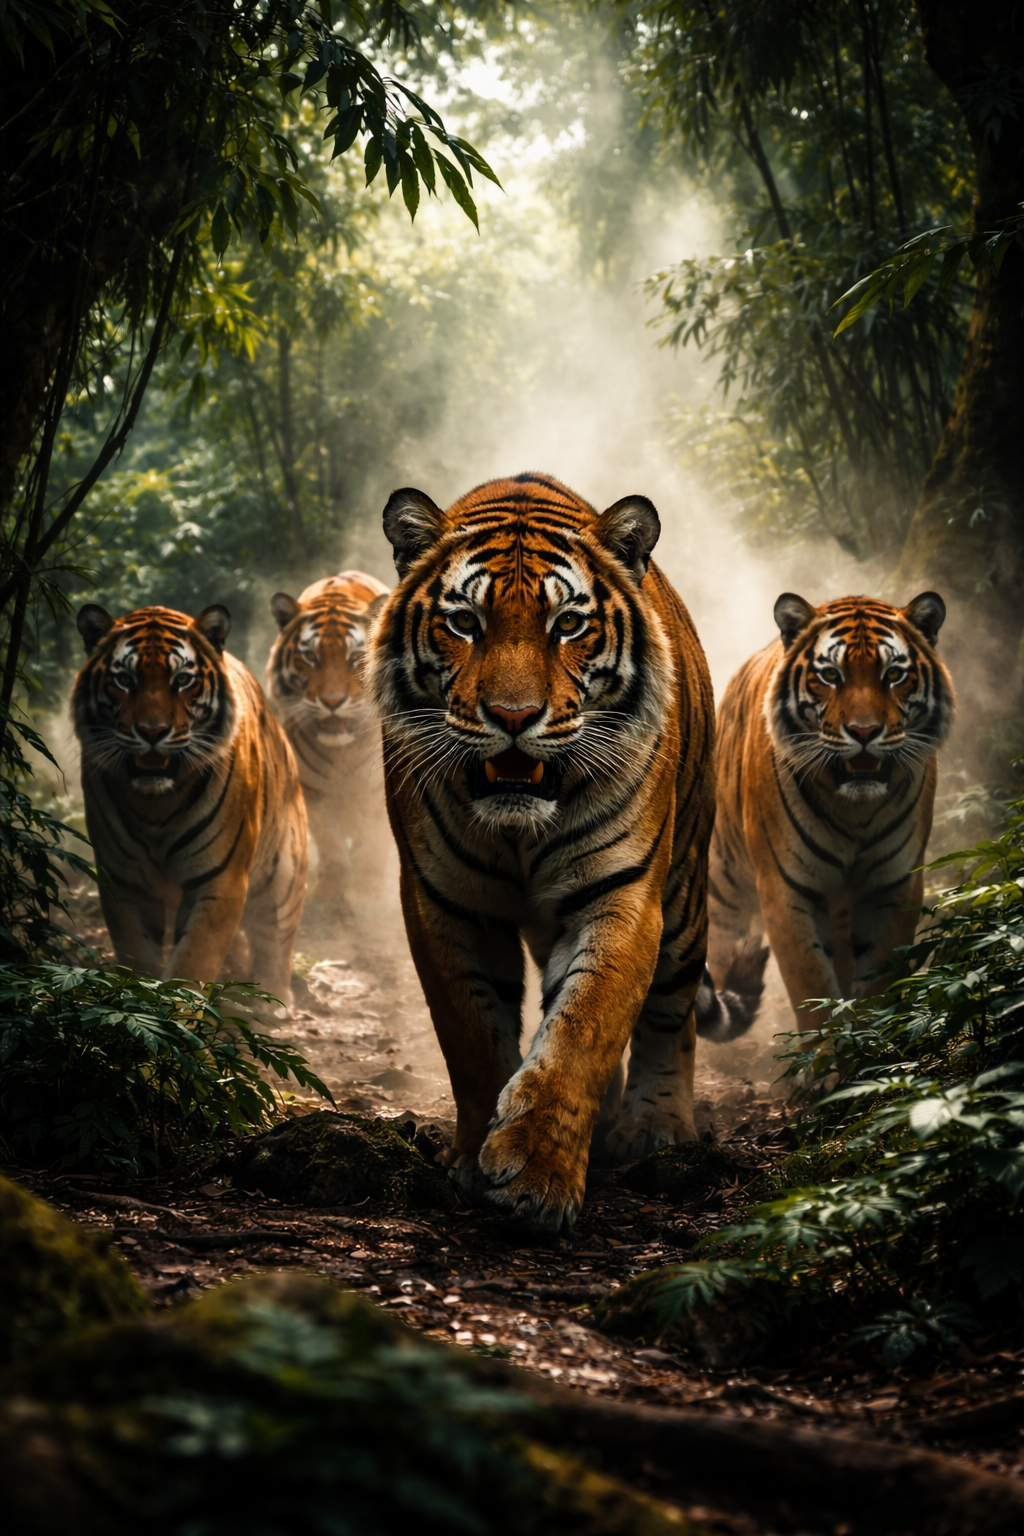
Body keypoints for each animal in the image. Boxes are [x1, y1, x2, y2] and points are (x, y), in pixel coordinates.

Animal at [72, 603, 308, 1007]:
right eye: (124, 680)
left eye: (182, 680)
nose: (152, 732)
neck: (156, 804)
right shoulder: (124, 880)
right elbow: (138, 953)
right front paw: (140, 1004)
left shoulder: (220, 878)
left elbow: (193, 962)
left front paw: (177, 1015)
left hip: (284, 870)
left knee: (275, 932)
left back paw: (271, 999)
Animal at [266, 571, 390, 913]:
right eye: (310, 656)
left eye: (355, 657)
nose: (332, 701)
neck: (343, 750)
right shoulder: (313, 790)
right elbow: (331, 843)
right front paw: (331, 890)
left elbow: (374, 841)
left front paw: (367, 891)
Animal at [366, 473, 767, 1233]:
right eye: (465, 623)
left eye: (569, 626)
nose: (514, 718)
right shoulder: (443, 902)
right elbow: (473, 1034)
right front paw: (475, 1159)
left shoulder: (622, 895)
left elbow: (584, 1028)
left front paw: (536, 1178)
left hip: (685, 896)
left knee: (671, 1014)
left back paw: (656, 1129)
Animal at [708, 591, 955, 1032]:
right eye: (829, 676)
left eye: (894, 674)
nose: (863, 731)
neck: (854, 808)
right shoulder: (786, 889)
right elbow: (811, 989)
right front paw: (825, 1048)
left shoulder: (894, 885)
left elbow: (879, 984)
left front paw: (871, 1044)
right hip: (725, 882)